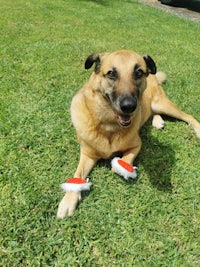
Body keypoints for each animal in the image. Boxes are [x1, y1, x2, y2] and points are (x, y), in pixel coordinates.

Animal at [56, 50, 200, 220]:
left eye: (138, 73)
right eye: (111, 74)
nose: (129, 106)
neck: (109, 126)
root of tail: (153, 76)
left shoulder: (136, 145)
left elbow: (123, 162)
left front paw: (121, 167)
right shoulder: (87, 154)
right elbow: (78, 175)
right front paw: (68, 200)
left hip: (162, 104)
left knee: (188, 116)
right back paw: (157, 121)